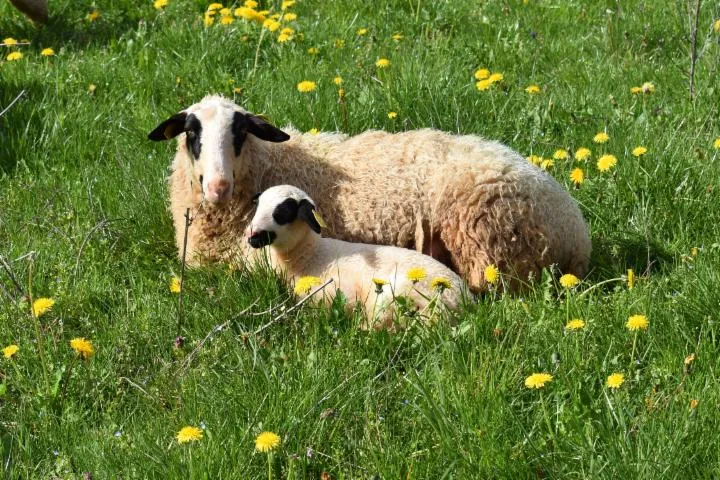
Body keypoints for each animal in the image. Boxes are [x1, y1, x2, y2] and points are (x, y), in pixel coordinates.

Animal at [245, 184, 464, 326]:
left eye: (283, 212)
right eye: (258, 206)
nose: (252, 236)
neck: (309, 255)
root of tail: (463, 303)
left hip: (394, 296)